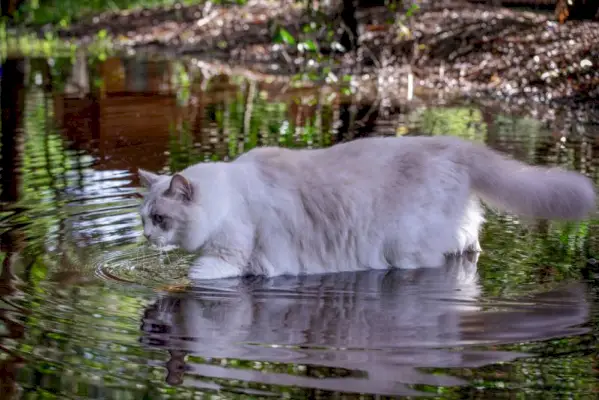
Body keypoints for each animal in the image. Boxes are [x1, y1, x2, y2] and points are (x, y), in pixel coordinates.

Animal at [138, 136, 596, 280]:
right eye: (144, 219)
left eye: (160, 219)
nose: (144, 235)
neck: (227, 195)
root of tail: (454, 144)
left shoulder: (226, 257)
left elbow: (190, 278)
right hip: (458, 232)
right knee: (470, 245)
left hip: (407, 249)